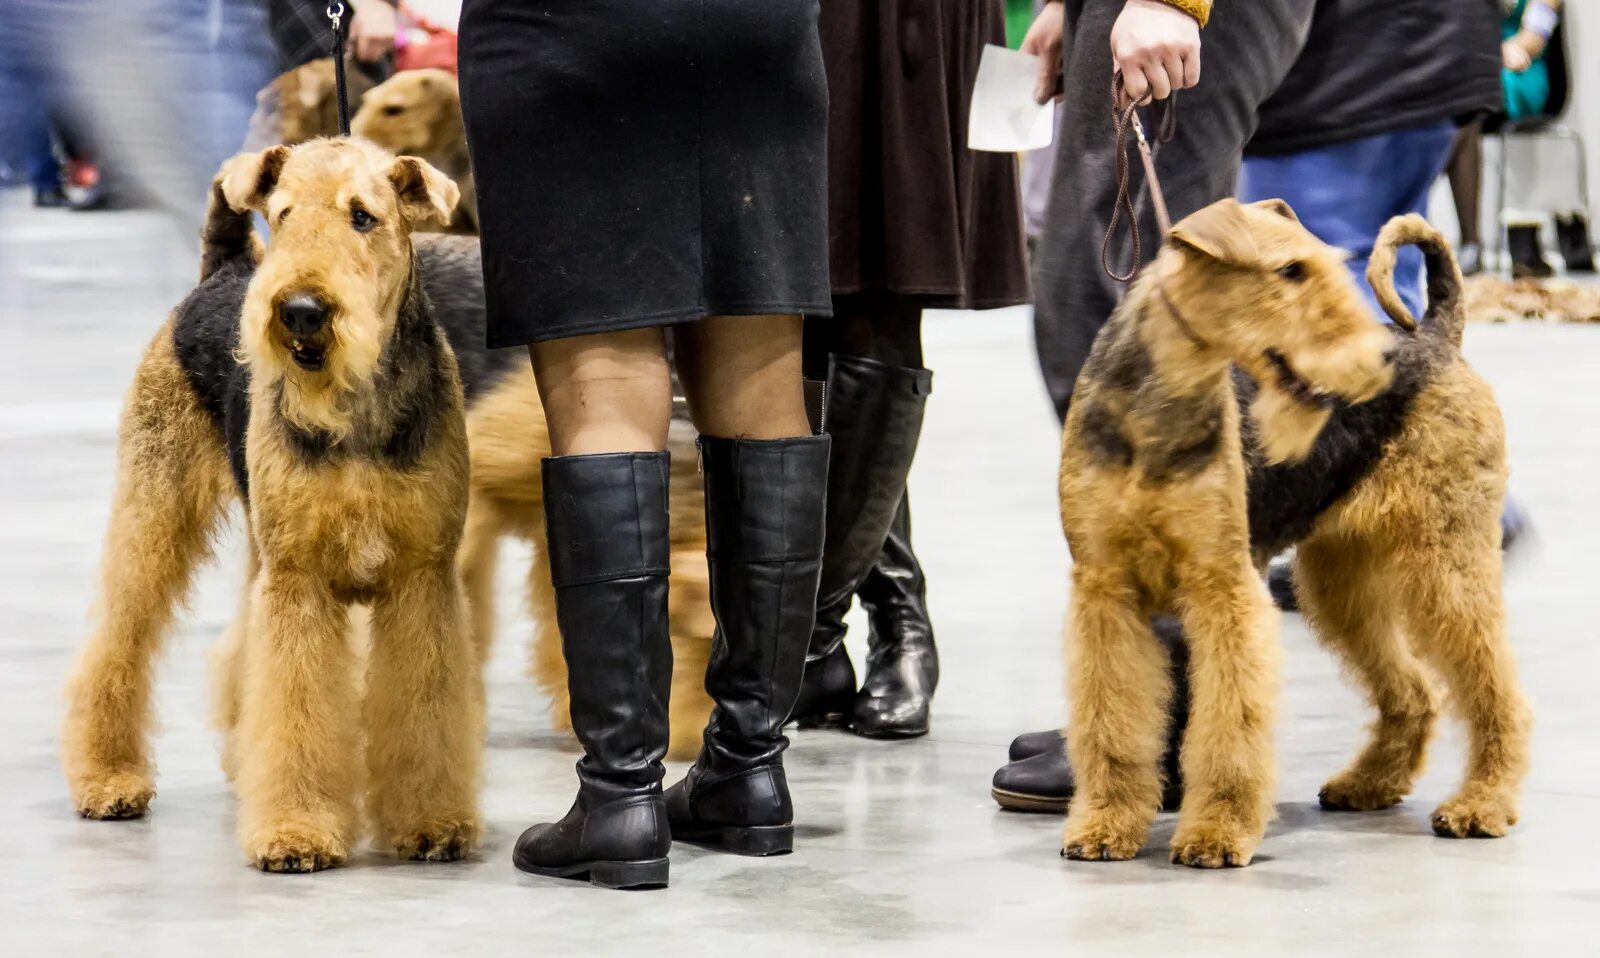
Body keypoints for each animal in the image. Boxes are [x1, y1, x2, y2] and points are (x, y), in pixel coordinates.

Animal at [1056, 202, 1529, 870]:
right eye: (1289, 271)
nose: (1375, 364)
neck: (1155, 410)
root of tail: (1435, 338)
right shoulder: (1105, 592)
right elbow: (1111, 721)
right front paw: (1104, 824)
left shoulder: (1225, 590)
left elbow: (1230, 723)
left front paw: (1216, 833)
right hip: (1339, 579)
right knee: (1413, 690)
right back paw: (1368, 784)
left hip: (1445, 561)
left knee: (1494, 689)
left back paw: (1480, 804)